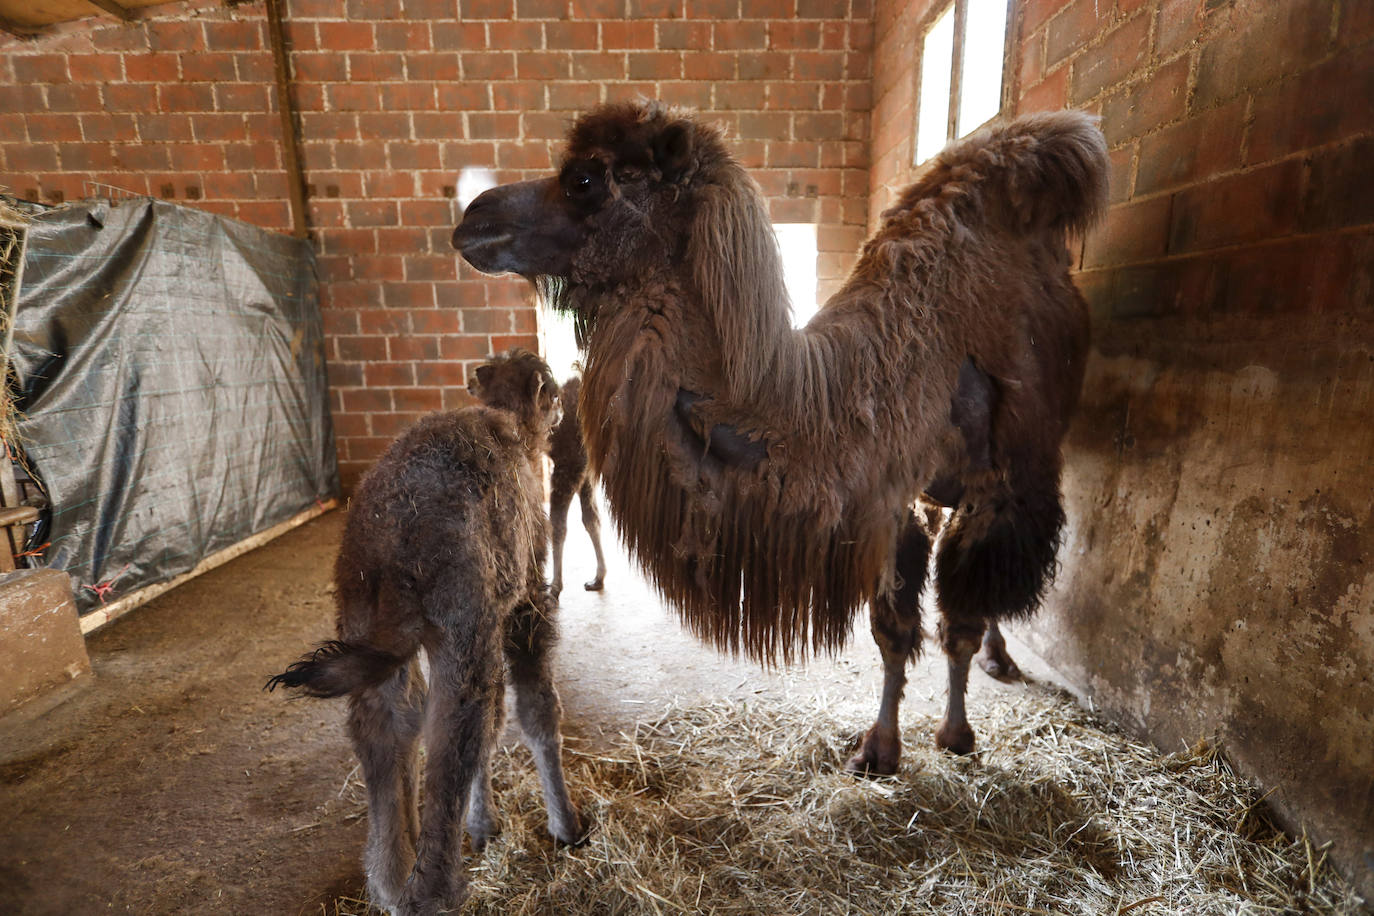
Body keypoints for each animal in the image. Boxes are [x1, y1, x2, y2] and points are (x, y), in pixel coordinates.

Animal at [546, 376, 607, 604]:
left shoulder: (571, 463)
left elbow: (558, 525)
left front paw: (554, 588)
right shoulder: (585, 469)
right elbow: (591, 518)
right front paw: (598, 578)